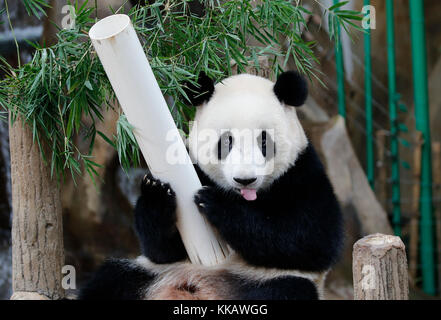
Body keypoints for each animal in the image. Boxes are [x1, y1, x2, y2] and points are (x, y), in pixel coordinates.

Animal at [79, 70, 342, 300]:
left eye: (264, 142)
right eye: (226, 142)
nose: (245, 179)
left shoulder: (301, 173)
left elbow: (311, 239)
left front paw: (217, 203)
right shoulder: (194, 168)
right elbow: (161, 250)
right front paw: (156, 194)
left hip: (266, 280)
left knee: (287, 291)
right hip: (149, 274)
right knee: (111, 280)